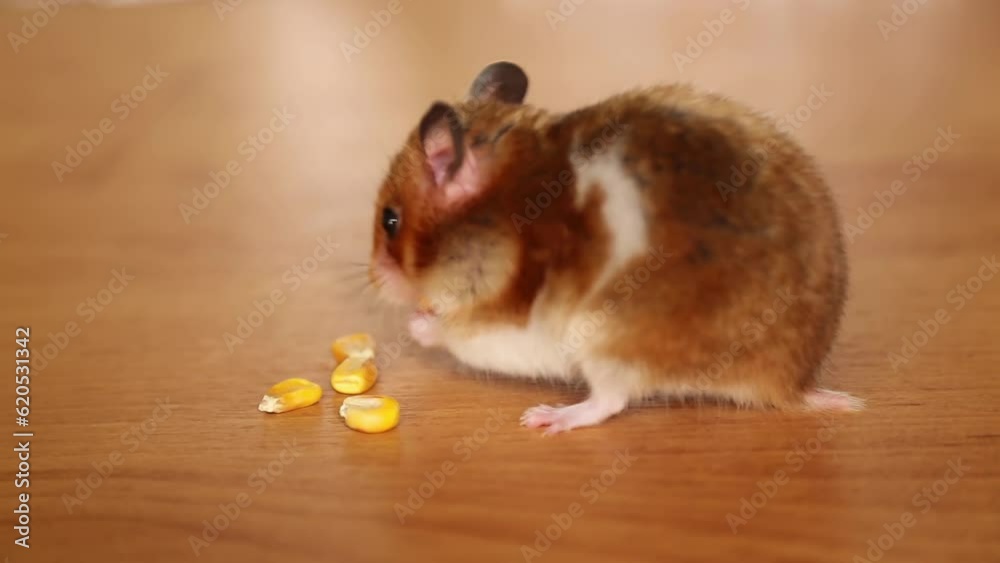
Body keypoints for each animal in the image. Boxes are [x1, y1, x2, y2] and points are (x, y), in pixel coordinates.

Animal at [370, 62, 861, 434]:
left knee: (609, 402)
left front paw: (417, 323)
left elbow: (455, 333)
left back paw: (546, 418)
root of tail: (791, 384)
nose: (374, 281)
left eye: (390, 221)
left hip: (609, 345)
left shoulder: (508, 324)